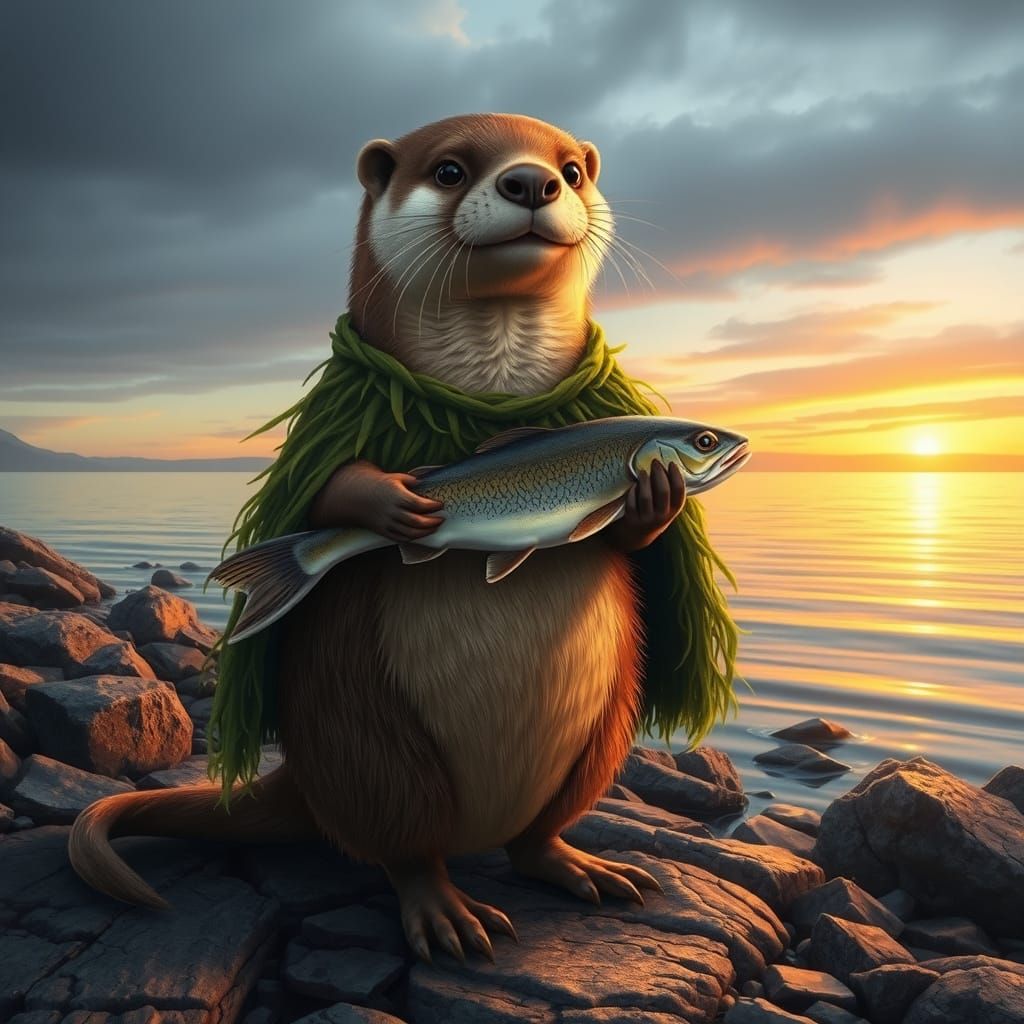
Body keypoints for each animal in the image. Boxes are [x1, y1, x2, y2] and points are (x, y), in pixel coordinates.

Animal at [69, 113, 688, 963]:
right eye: (452, 168)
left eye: (572, 169)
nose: (532, 181)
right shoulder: (327, 419)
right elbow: (323, 481)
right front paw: (392, 499)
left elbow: (630, 539)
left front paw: (656, 501)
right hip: (365, 724)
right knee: (402, 843)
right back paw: (447, 915)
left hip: (601, 733)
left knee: (538, 833)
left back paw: (583, 866)